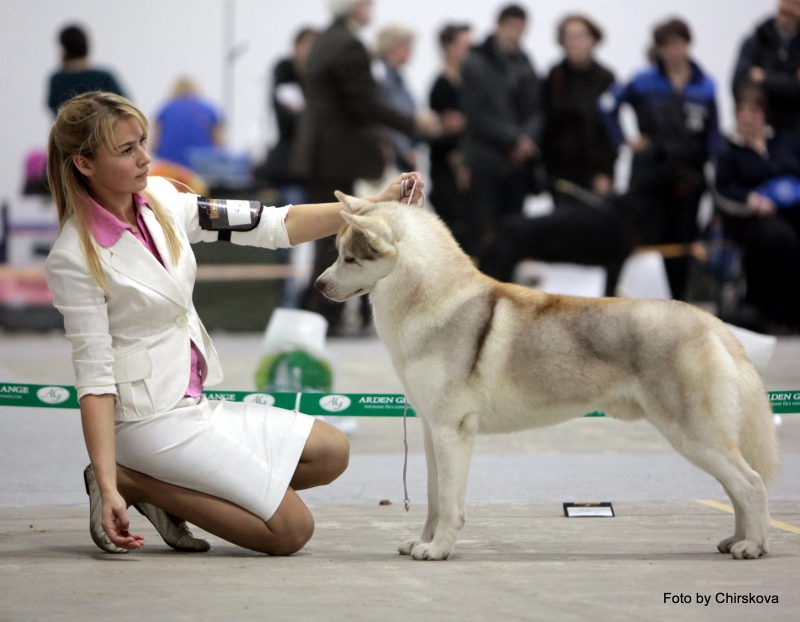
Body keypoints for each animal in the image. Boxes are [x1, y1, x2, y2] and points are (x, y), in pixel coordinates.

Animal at [316, 194, 780, 560]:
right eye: (338, 253)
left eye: (349, 258)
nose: (319, 285)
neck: (430, 301)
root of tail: (710, 321)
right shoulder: (433, 431)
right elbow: (432, 499)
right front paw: (423, 542)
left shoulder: (452, 430)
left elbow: (449, 503)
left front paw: (439, 550)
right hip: (701, 439)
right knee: (736, 488)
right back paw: (735, 540)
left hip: (693, 435)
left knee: (752, 484)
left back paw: (753, 546)